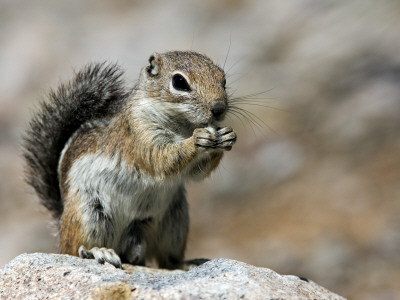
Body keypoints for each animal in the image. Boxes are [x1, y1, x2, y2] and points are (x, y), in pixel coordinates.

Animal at [22, 50, 238, 268]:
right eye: (179, 82)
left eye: (223, 79)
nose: (219, 108)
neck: (183, 126)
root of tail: (61, 223)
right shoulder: (139, 133)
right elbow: (162, 159)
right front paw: (196, 140)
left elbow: (196, 173)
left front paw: (226, 136)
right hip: (88, 214)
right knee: (74, 249)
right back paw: (98, 251)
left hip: (174, 222)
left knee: (165, 259)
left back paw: (182, 263)